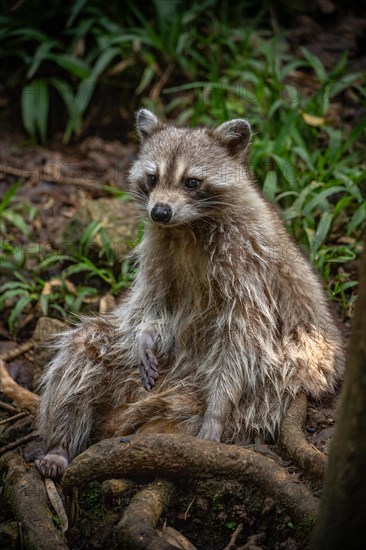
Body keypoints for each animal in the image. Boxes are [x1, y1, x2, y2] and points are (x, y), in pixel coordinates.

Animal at [35, 111, 344, 478]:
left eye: (192, 182)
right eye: (153, 178)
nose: (160, 211)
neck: (187, 226)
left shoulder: (248, 264)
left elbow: (244, 335)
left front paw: (217, 409)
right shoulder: (157, 249)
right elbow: (154, 304)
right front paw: (146, 335)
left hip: (275, 381)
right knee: (84, 349)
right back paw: (60, 442)